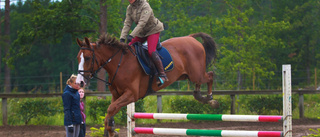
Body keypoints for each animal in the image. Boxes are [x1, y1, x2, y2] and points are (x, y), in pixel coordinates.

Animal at [76, 32, 219, 136]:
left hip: (196, 73)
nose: (80, 82)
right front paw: (111, 128)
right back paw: (200, 96)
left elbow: (111, 109)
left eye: (87, 58)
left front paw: (112, 130)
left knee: (210, 75)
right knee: (200, 83)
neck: (120, 63)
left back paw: (210, 99)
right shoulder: (117, 95)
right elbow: (110, 112)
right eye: (78, 58)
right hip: (189, 75)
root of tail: (190, 38)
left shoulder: (131, 95)